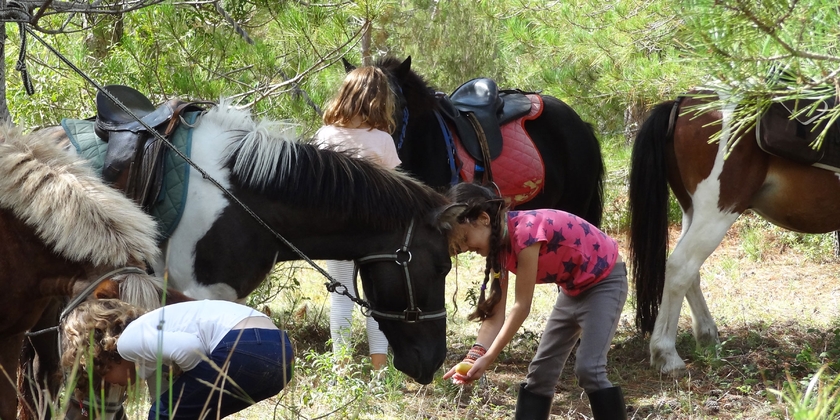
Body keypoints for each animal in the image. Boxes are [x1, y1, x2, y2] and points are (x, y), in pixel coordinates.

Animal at [628, 91, 840, 377]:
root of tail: (683, 103)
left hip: (693, 212)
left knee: (689, 272)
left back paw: (707, 339)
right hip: (717, 212)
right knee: (681, 267)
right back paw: (667, 356)